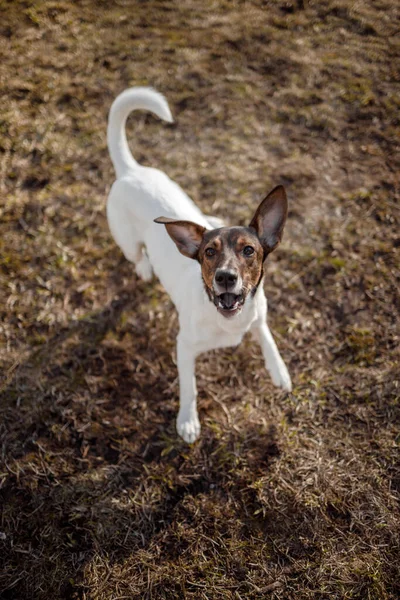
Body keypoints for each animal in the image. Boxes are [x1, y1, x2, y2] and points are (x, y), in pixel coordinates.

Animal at [108, 90, 292, 446]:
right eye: (209, 252)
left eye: (249, 250)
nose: (225, 278)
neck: (228, 319)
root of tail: (131, 171)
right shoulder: (184, 347)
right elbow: (189, 387)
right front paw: (188, 421)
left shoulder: (259, 313)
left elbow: (267, 338)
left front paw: (279, 371)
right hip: (126, 240)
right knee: (136, 254)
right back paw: (144, 269)